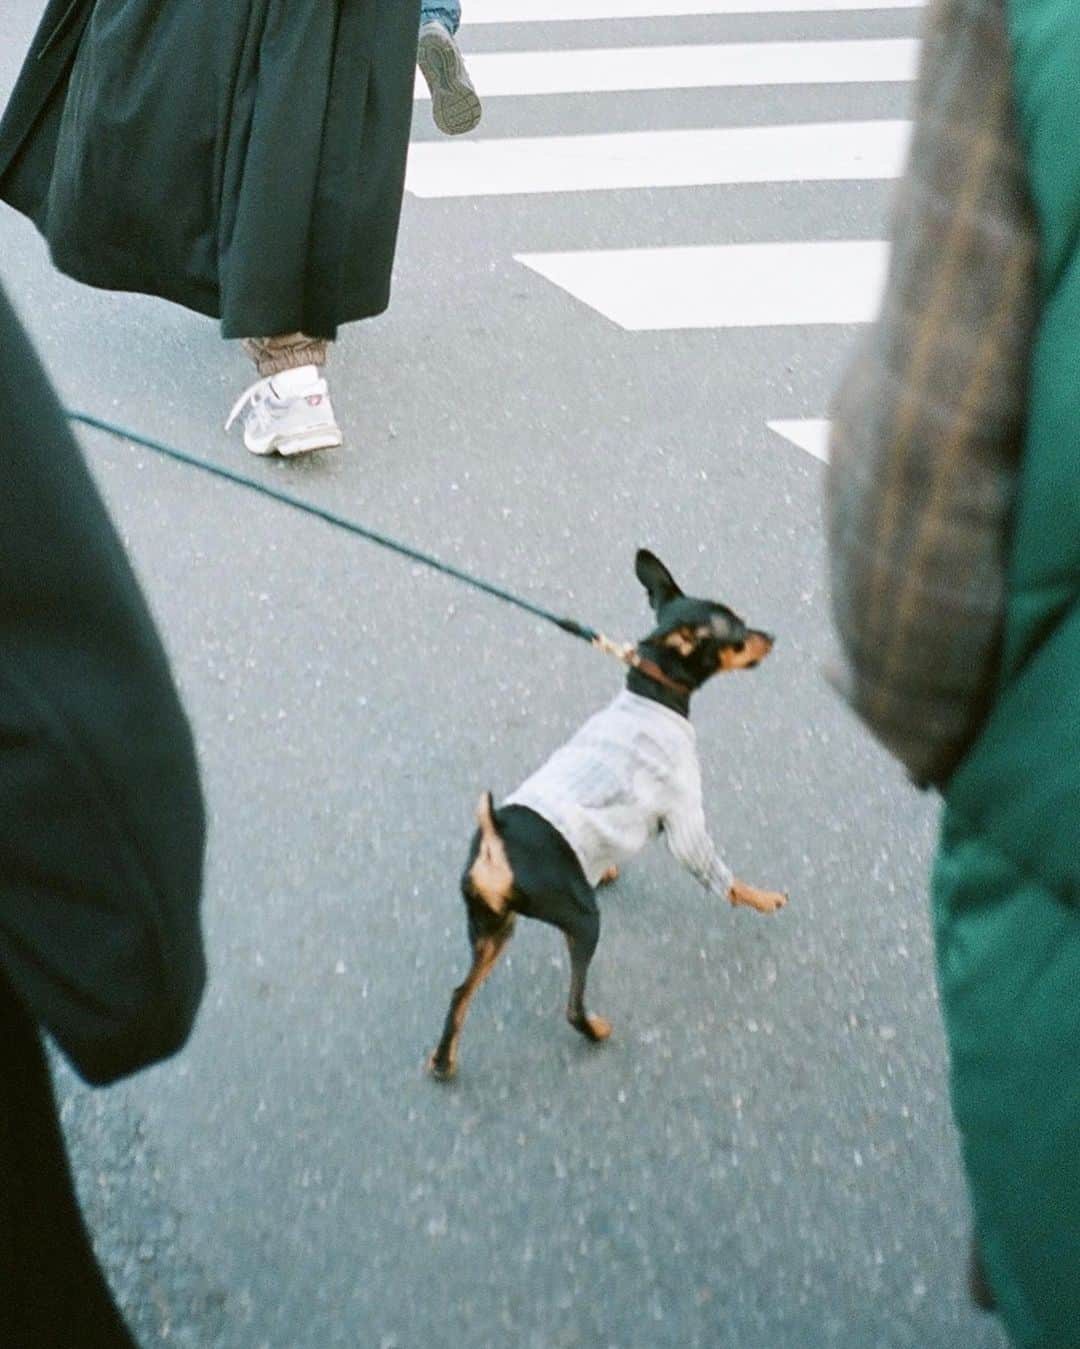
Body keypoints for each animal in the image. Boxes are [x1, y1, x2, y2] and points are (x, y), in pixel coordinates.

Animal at [426, 544, 787, 1073]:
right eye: (739, 634)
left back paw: (443, 1060)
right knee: (572, 1007)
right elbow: (724, 877)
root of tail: (495, 840)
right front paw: (762, 898)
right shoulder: (684, 819)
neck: (653, 694)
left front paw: (607, 868)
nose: (772, 637)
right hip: (582, 920)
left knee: (458, 993)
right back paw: (594, 1029)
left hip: (492, 929)